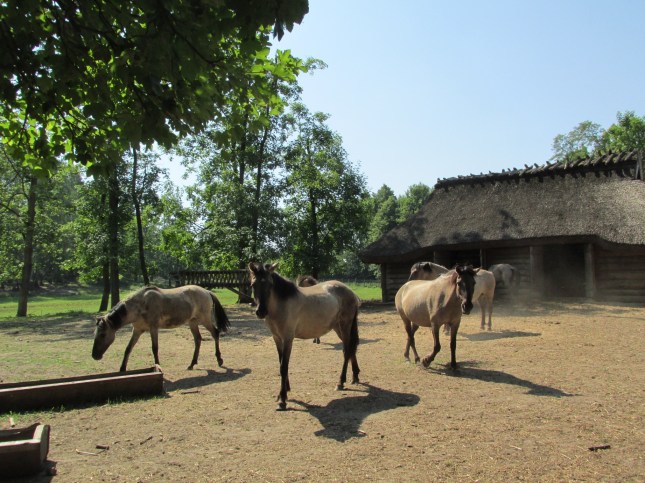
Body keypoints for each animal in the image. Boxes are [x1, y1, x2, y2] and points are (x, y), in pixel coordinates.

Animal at [92, 285, 230, 372]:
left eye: (103, 334)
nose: (95, 355)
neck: (140, 305)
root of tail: (207, 292)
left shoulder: (153, 328)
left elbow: (155, 348)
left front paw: (158, 367)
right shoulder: (137, 330)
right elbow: (128, 349)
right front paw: (122, 369)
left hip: (205, 320)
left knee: (215, 333)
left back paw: (219, 359)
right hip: (193, 323)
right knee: (198, 339)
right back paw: (192, 364)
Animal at [248, 262, 361, 411]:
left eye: (270, 284)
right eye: (253, 284)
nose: (261, 312)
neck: (281, 304)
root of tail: (351, 292)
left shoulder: (288, 338)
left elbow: (284, 367)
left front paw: (282, 400)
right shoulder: (277, 338)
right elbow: (280, 363)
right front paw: (284, 391)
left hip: (345, 326)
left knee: (347, 351)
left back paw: (340, 382)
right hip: (338, 328)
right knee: (350, 349)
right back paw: (355, 377)